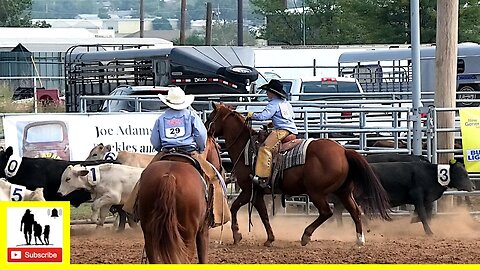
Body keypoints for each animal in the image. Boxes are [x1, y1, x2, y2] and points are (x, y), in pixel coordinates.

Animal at [205, 103, 390, 247]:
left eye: (211, 116)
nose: (205, 130)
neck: (246, 148)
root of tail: (343, 151)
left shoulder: (249, 190)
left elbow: (235, 207)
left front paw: (237, 235)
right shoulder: (258, 192)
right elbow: (264, 215)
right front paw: (269, 239)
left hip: (316, 192)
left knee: (327, 212)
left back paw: (306, 236)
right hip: (343, 191)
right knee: (355, 211)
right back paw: (359, 240)